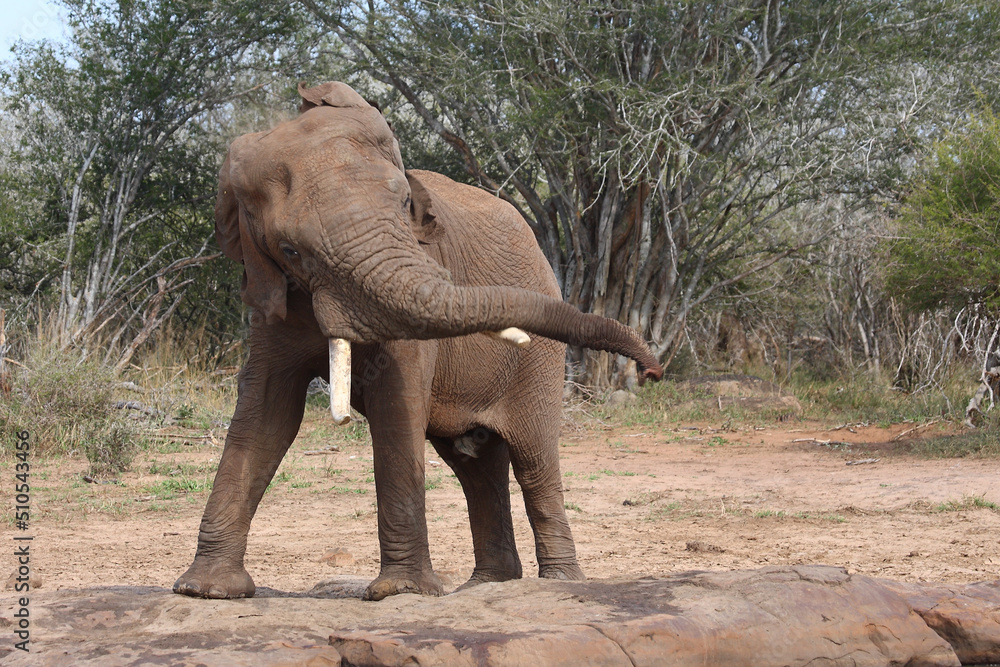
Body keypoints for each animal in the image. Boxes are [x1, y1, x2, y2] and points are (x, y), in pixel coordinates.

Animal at [173, 81, 663, 602]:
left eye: (404, 205)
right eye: (291, 250)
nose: (652, 371)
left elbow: (396, 405)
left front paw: (401, 592)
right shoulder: (271, 300)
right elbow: (268, 414)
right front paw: (204, 591)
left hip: (540, 363)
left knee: (534, 460)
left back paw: (557, 583)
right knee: (475, 464)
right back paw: (488, 585)